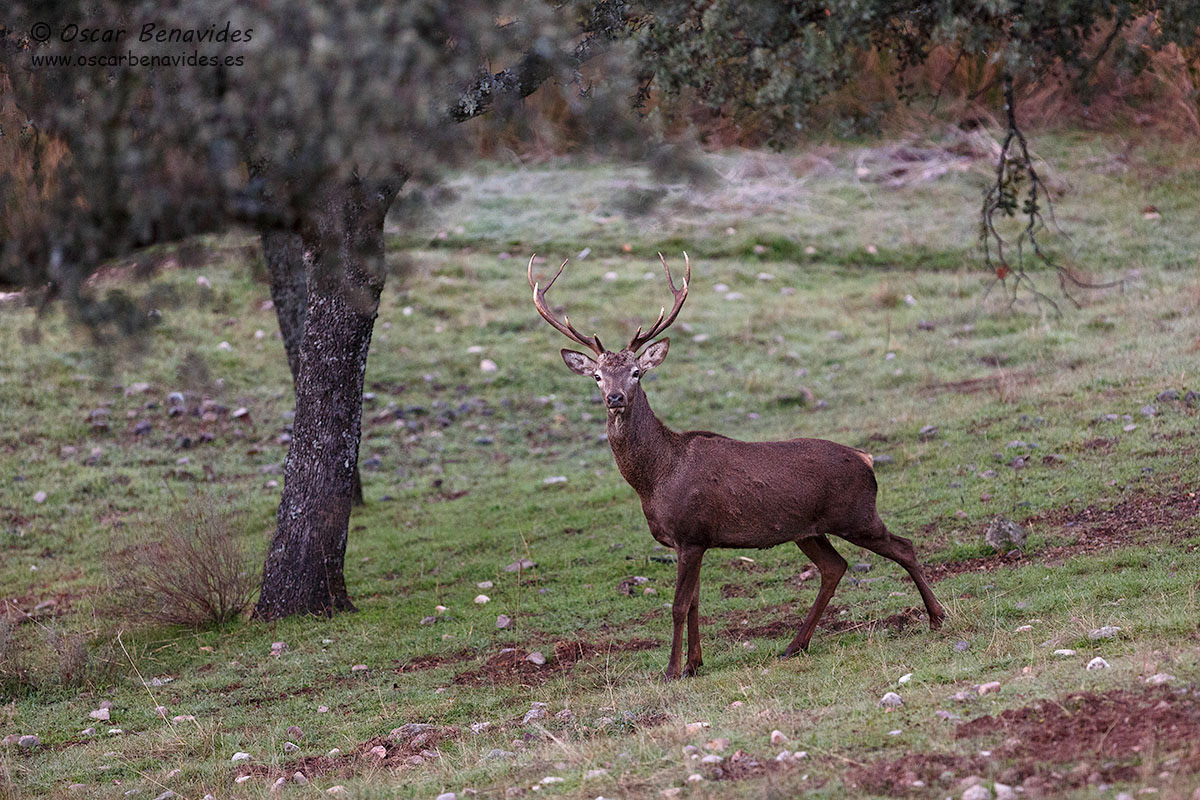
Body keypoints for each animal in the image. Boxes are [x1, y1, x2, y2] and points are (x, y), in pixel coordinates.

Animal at [528, 252, 946, 680]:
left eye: (636, 372)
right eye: (597, 375)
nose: (614, 398)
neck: (656, 478)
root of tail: (866, 459)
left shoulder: (691, 533)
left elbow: (678, 605)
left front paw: (671, 670)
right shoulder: (693, 540)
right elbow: (695, 603)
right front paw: (694, 664)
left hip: (857, 514)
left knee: (904, 546)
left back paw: (936, 617)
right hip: (808, 530)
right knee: (835, 566)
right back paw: (794, 645)